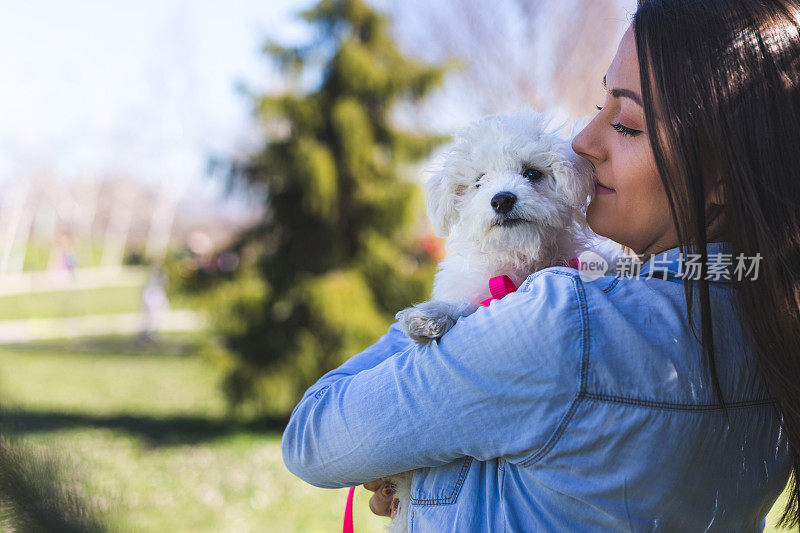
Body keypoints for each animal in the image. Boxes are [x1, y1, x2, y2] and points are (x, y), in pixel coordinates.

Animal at [384, 108, 620, 532]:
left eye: (532, 173)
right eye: (479, 181)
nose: (502, 199)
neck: (519, 264)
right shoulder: (478, 290)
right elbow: (463, 305)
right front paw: (428, 318)